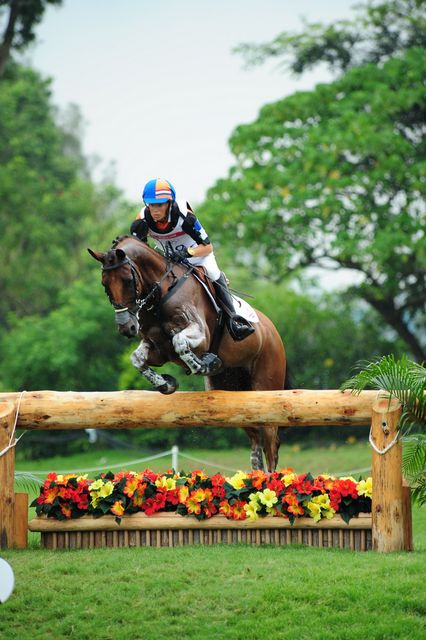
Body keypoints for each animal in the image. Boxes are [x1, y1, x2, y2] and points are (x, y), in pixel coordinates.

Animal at [88, 235, 288, 472]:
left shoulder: (200, 336)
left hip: (266, 386)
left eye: (128, 280)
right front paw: (166, 384)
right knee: (256, 440)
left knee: (270, 444)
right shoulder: (159, 349)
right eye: (105, 284)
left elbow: (179, 341)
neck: (161, 293)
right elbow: (137, 359)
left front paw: (203, 365)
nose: (126, 328)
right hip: (235, 392)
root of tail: (273, 330)